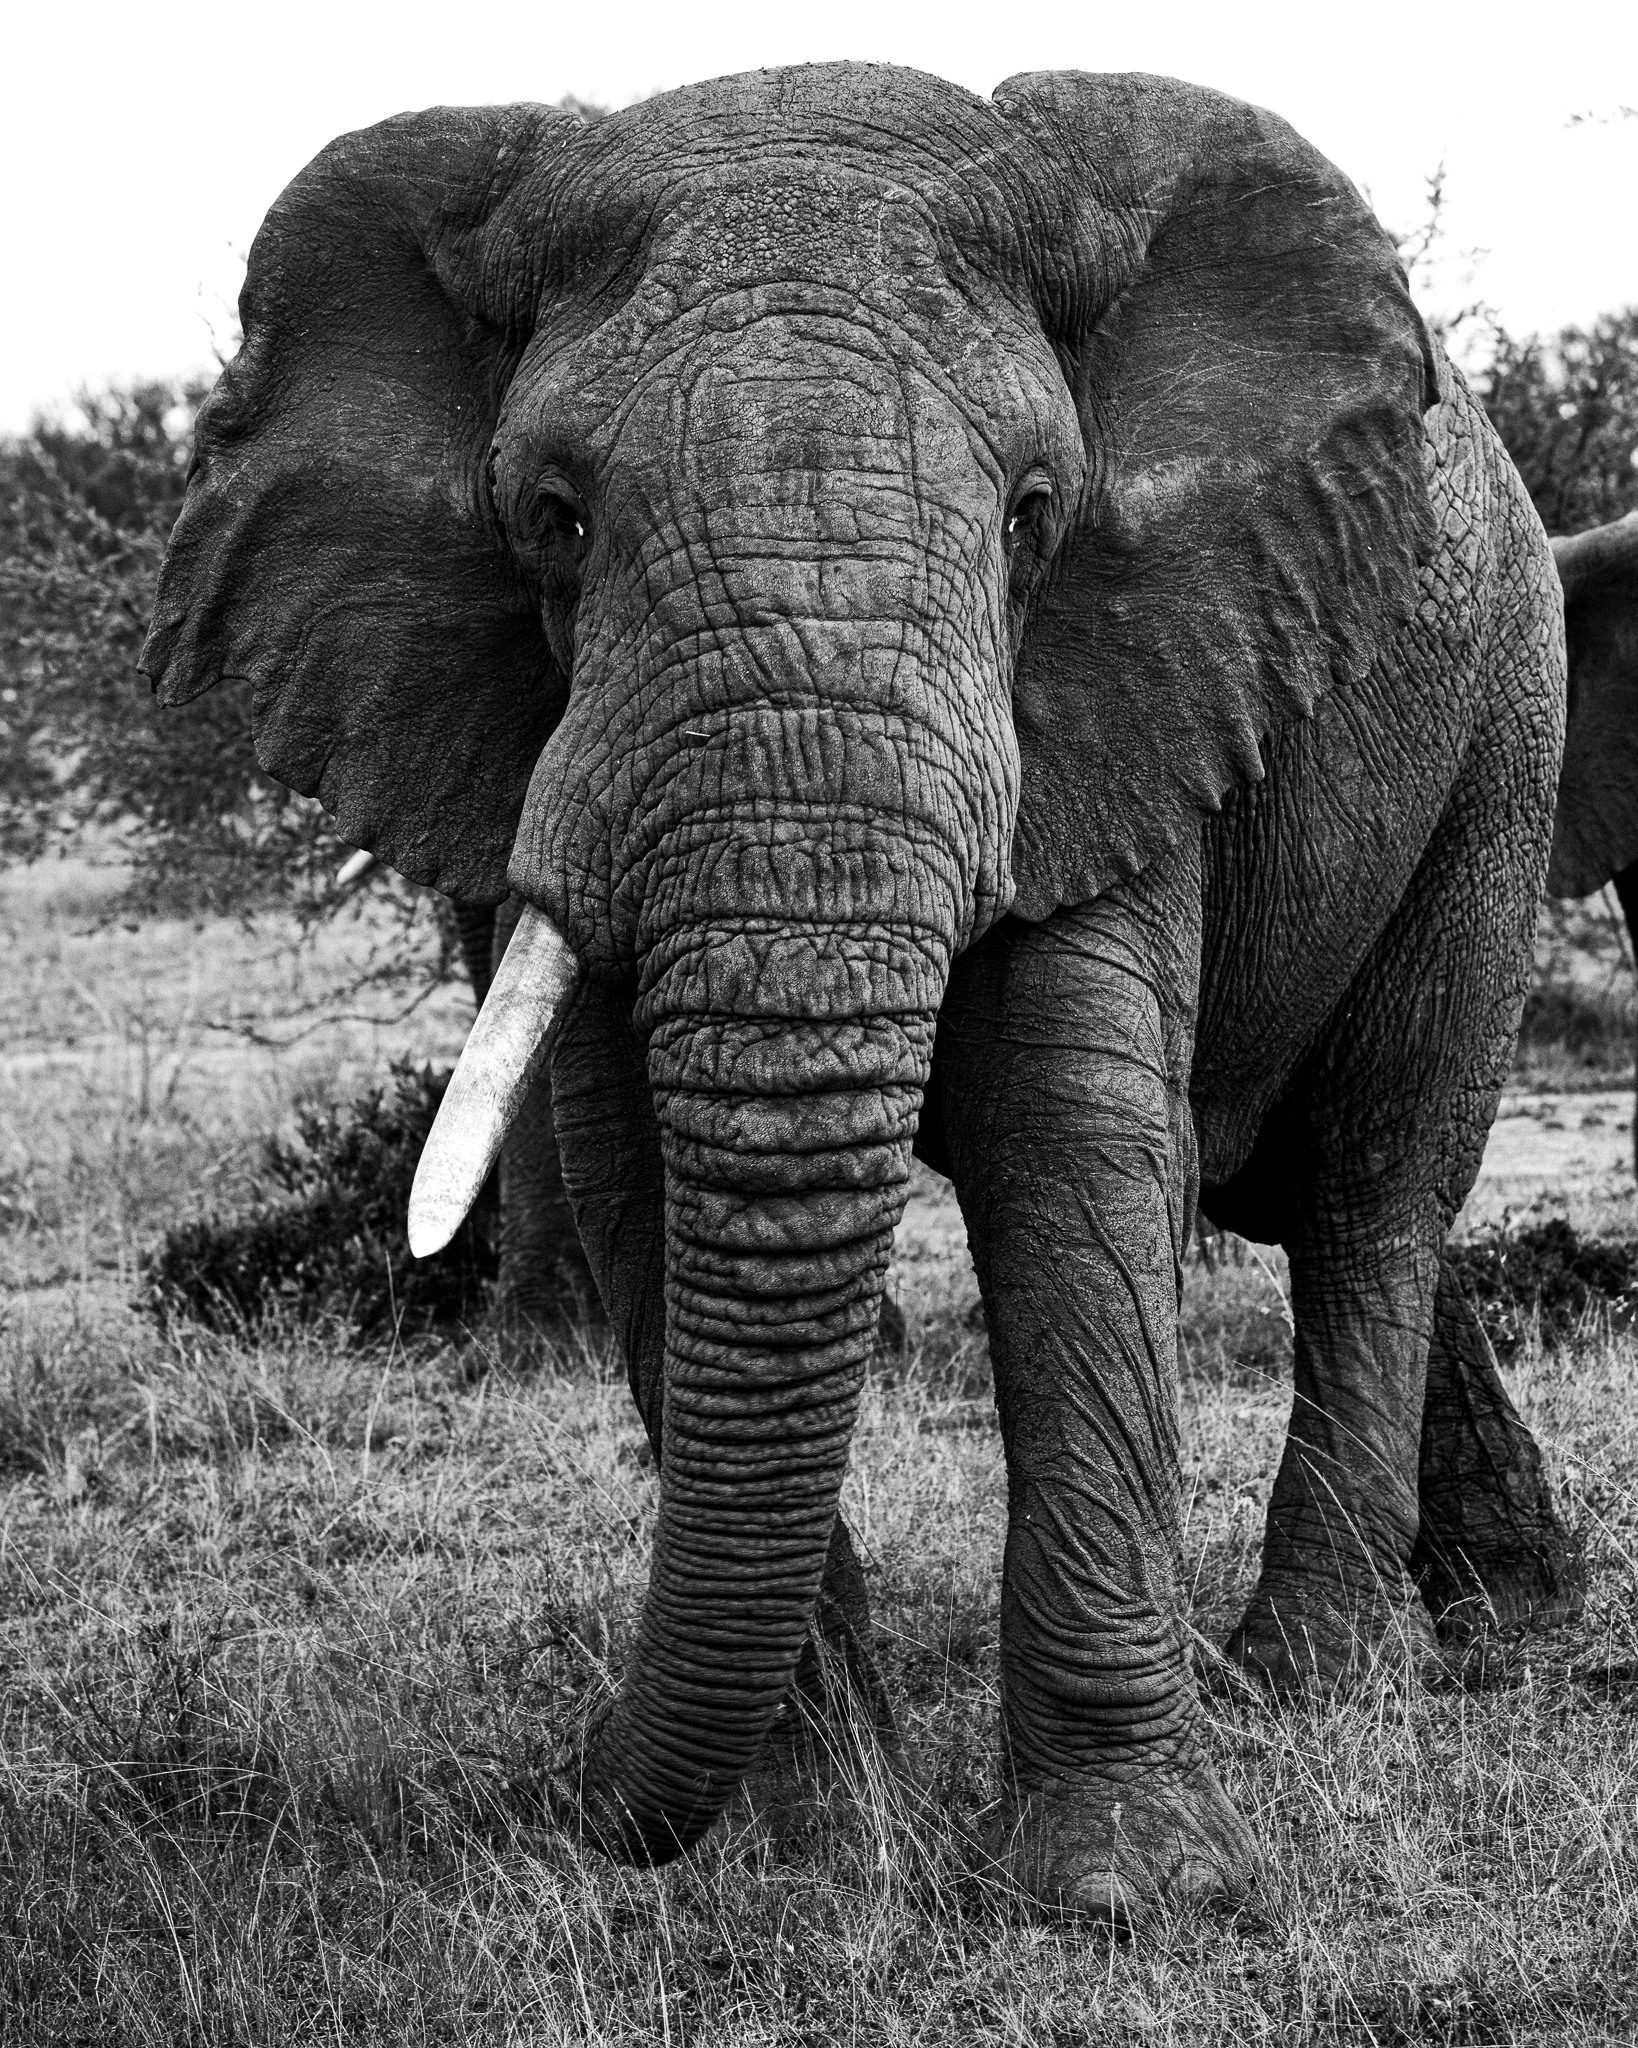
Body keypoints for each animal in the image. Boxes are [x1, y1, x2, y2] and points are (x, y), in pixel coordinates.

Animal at [140, 65, 1572, 1923]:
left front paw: (1108, 1891)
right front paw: (807, 1852)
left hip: (1498, 742)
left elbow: (1072, 1150)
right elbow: (651, 1189)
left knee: (1368, 1189)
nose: (573, 1801)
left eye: (1033, 515)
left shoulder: (1123, 676)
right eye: (552, 520)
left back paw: (1303, 1687)